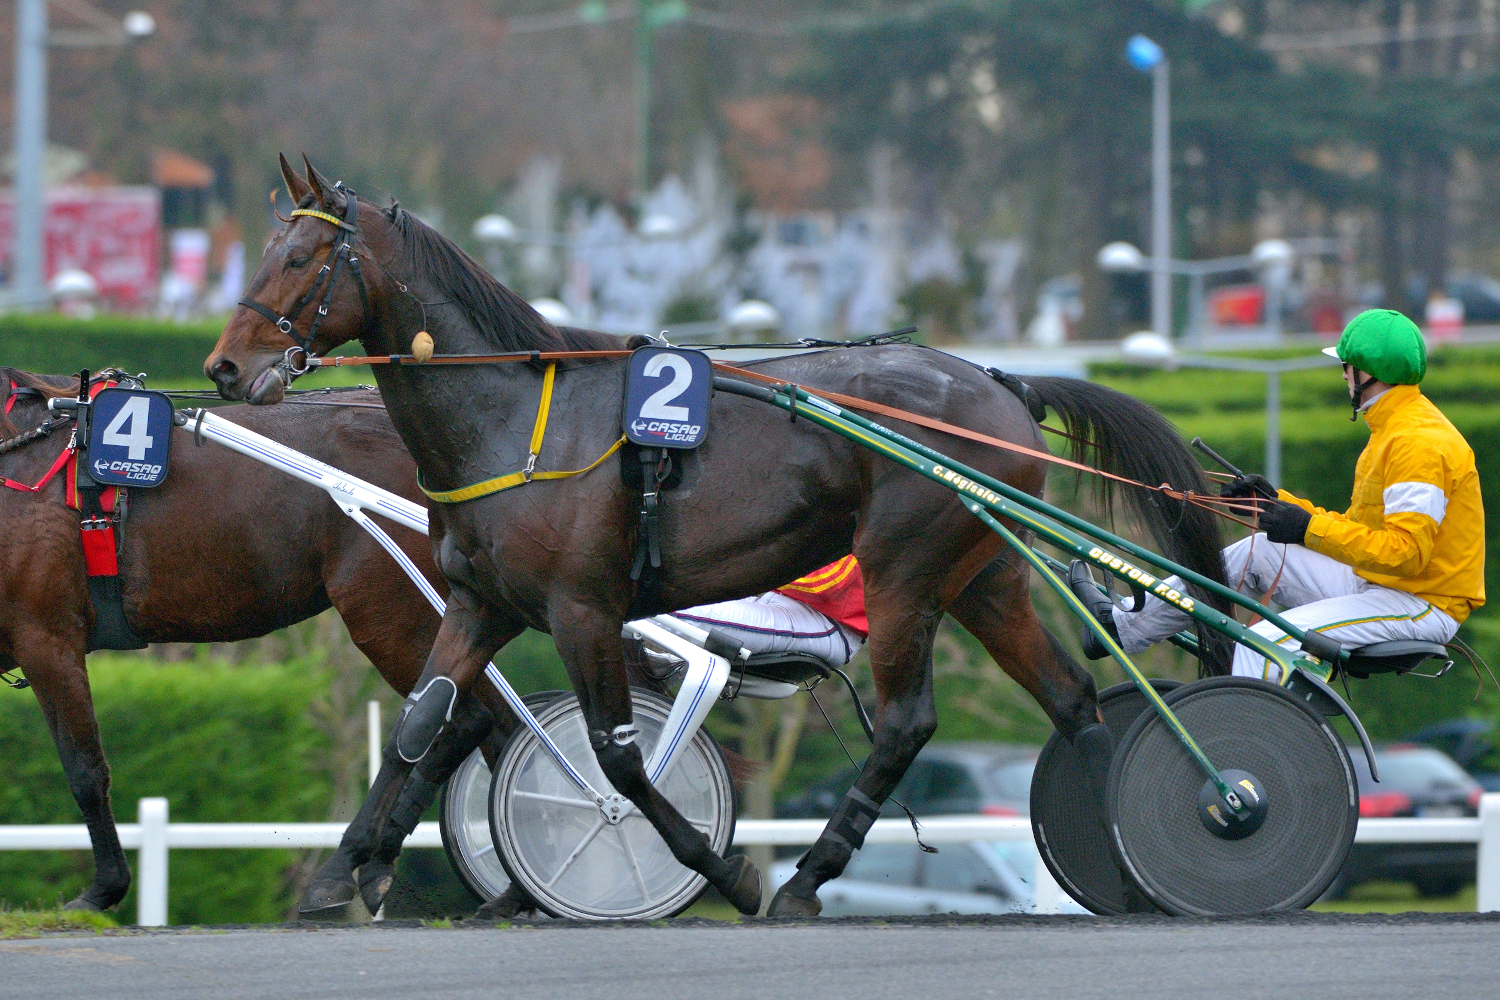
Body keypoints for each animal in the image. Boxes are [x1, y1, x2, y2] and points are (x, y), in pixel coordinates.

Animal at [202, 154, 1230, 917]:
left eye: (300, 257)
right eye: (267, 249)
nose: (223, 369)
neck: (516, 420)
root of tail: (1001, 382)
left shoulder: (584, 607)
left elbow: (618, 753)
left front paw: (719, 866)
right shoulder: (483, 601)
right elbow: (422, 723)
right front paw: (337, 872)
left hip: (906, 571)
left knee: (908, 720)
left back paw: (809, 878)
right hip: (981, 576)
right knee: (1072, 699)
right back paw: (1130, 871)